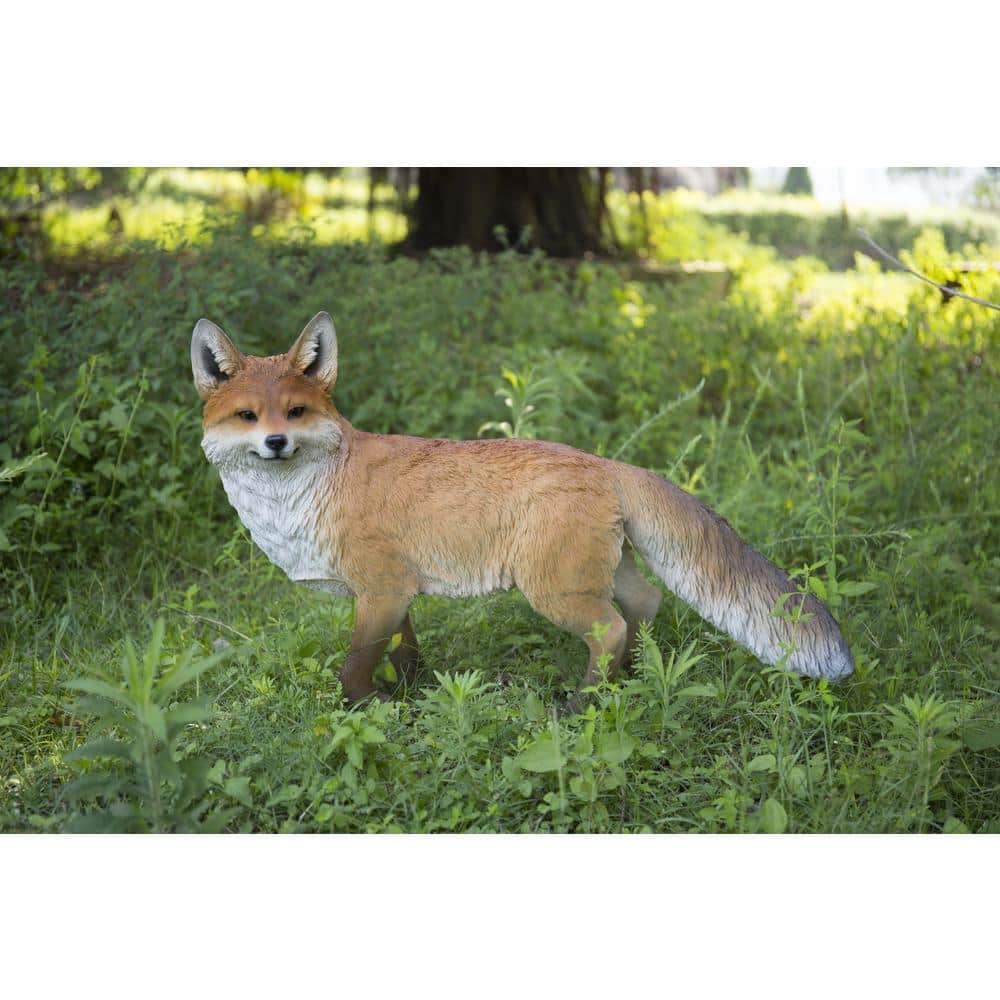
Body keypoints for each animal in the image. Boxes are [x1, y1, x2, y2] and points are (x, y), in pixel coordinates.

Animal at [191, 311, 854, 706]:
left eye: (295, 412)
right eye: (248, 416)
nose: (276, 442)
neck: (308, 499)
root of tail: (602, 461)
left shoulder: (379, 590)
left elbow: (353, 669)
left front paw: (368, 710)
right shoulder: (396, 594)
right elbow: (406, 653)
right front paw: (413, 697)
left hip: (554, 589)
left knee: (610, 630)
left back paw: (583, 706)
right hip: (601, 572)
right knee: (644, 604)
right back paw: (634, 679)